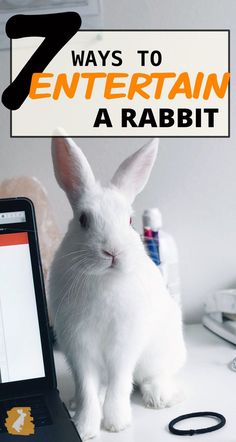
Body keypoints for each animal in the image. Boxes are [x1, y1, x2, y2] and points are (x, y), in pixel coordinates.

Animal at [49, 133, 186, 440]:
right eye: (83, 219)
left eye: (130, 220)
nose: (112, 252)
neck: (104, 278)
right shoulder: (79, 347)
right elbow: (88, 389)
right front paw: (85, 427)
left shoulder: (124, 345)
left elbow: (120, 384)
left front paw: (116, 423)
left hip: (158, 353)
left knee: (151, 377)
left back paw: (160, 397)